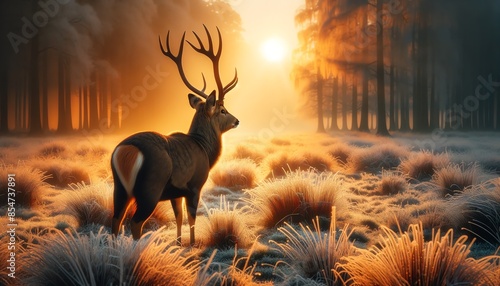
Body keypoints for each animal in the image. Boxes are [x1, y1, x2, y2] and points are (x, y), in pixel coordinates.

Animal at [111, 26, 238, 246]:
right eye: (222, 110)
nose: (236, 121)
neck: (204, 149)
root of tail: (126, 151)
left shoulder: (175, 192)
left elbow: (178, 216)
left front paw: (179, 243)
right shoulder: (195, 185)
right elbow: (192, 217)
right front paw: (193, 243)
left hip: (119, 188)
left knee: (115, 221)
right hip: (150, 187)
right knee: (135, 223)